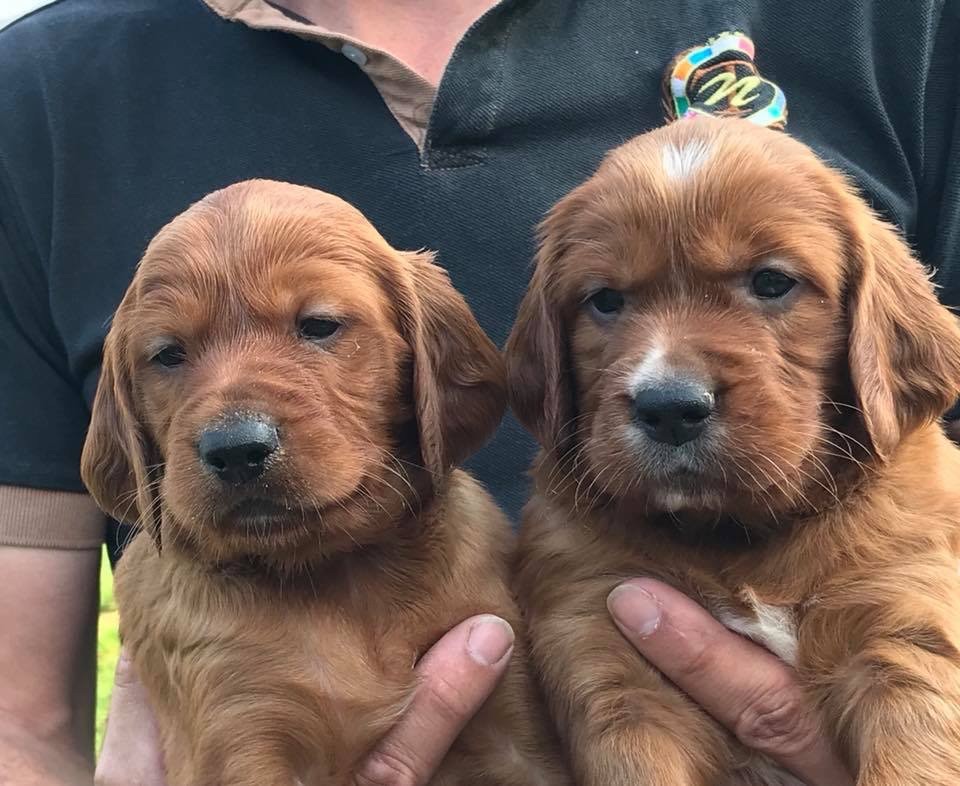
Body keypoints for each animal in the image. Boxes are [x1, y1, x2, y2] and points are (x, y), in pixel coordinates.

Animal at [80, 181, 568, 784]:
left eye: (318, 325)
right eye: (168, 354)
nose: (236, 449)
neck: (339, 574)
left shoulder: (514, 735)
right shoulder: (240, 735)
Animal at [506, 116, 960, 784]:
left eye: (771, 282)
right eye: (605, 300)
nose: (669, 407)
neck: (736, 536)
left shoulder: (903, 620)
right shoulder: (605, 647)